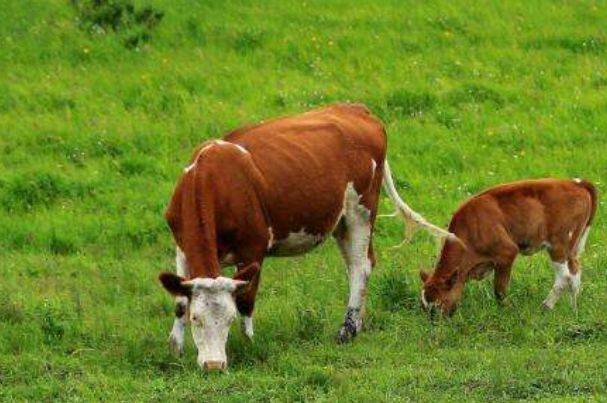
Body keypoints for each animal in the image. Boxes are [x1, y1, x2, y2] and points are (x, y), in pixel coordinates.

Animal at [159, 104, 454, 372]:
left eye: (229, 319)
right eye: (195, 318)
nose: (214, 365)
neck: (212, 180)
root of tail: (358, 109)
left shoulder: (253, 248)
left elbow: (246, 300)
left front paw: (248, 344)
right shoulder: (182, 248)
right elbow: (179, 300)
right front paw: (175, 349)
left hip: (361, 210)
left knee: (360, 267)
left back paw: (346, 330)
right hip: (341, 221)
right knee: (357, 265)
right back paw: (357, 324)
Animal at [420, 178, 596, 318]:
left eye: (439, 304)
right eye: (423, 307)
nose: (435, 324)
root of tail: (575, 183)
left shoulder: (507, 252)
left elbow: (499, 289)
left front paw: (507, 310)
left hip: (558, 245)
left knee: (564, 276)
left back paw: (546, 306)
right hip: (571, 249)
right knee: (575, 272)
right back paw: (573, 309)